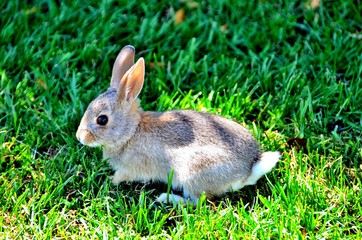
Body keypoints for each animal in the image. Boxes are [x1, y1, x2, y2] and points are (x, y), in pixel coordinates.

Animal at [75, 44, 280, 202]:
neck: (131, 132)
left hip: (190, 174)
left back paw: (169, 199)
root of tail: (248, 170)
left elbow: (121, 176)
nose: (80, 137)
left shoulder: (131, 168)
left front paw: (110, 180)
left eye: (102, 119)